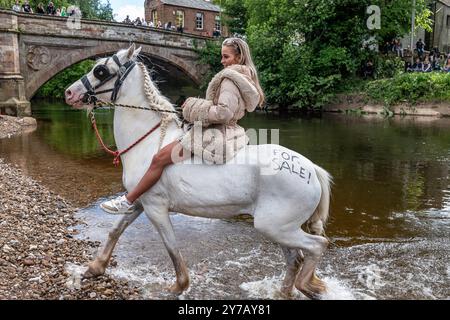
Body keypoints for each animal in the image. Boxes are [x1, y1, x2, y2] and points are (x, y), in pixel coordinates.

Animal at [65, 45, 332, 300]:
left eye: (100, 70)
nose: (69, 93)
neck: (148, 141)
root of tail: (311, 169)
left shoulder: (155, 208)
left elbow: (172, 248)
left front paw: (179, 286)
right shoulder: (141, 201)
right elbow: (115, 230)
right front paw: (95, 268)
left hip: (275, 227)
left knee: (317, 246)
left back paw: (308, 286)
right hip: (280, 230)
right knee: (295, 259)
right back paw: (286, 291)